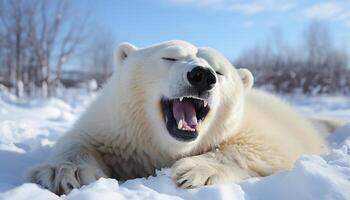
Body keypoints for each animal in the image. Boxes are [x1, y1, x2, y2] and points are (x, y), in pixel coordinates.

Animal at [27, 39, 328, 195]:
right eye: (169, 57)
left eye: (219, 71)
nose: (202, 75)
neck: (162, 144)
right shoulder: (117, 129)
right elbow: (80, 140)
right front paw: (65, 172)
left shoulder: (254, 128)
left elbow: (268, 146)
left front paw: (194, 171)